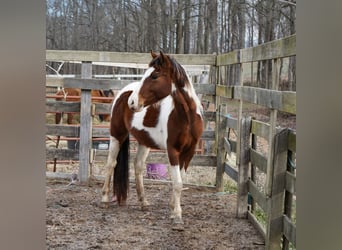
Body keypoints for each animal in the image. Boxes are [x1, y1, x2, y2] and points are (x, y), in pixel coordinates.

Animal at [101, 51, 203, 224]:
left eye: (155, 76)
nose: (132, 102)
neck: (187, 118)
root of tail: (123, 93)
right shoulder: (172, 150)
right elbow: (177, 182)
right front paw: (177, 215)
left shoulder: (189, 152)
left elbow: (180, 179)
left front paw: (172, 207)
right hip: (116, 136)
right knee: (110, 164)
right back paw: (105, 199)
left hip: (144, 142)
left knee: (138, 166)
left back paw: (143, 202)